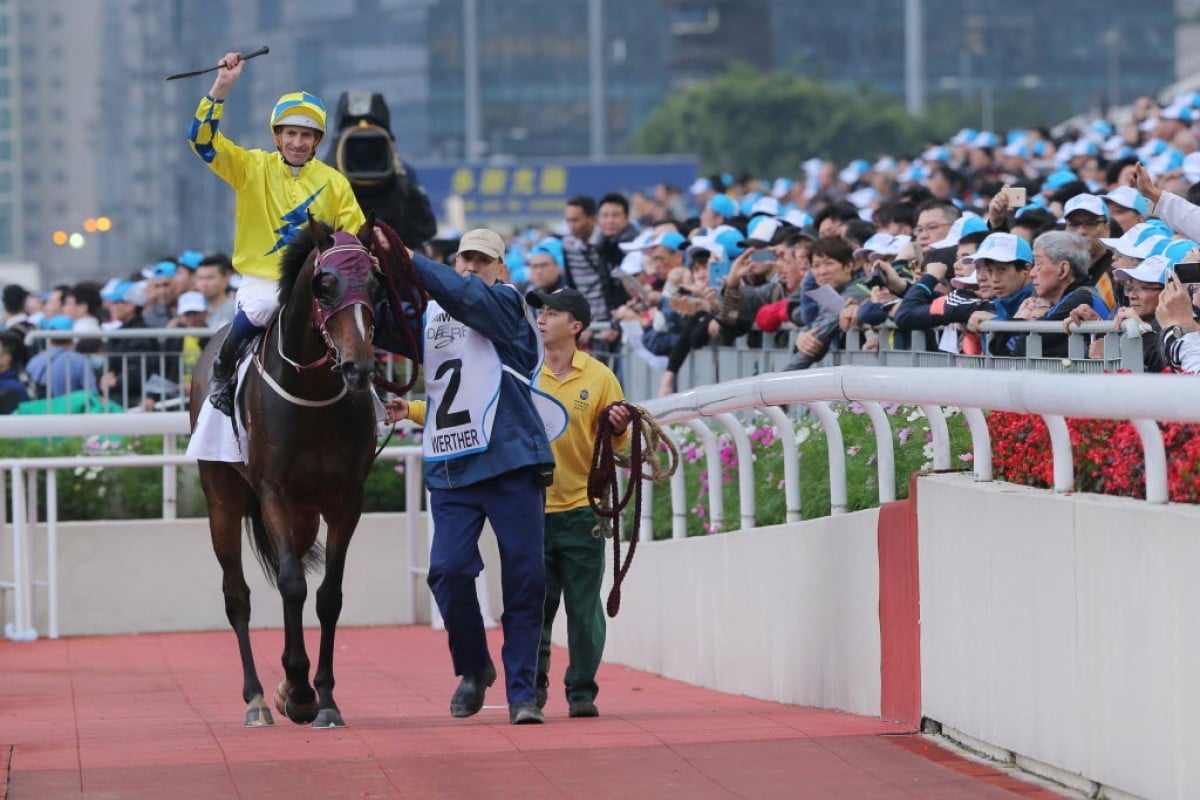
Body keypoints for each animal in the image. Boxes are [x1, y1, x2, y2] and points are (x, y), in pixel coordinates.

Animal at [192, 215, 381, 729]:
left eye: (375, 283)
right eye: (325, 285)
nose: (359, 368)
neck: (312, 395)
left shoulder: (346, 498)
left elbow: (327, 595)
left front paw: (323, 697)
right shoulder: (272, 490)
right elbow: (293, 584)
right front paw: (297, 690)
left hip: (304, 514)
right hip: (222, 493)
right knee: (237, 593)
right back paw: (257, 697)